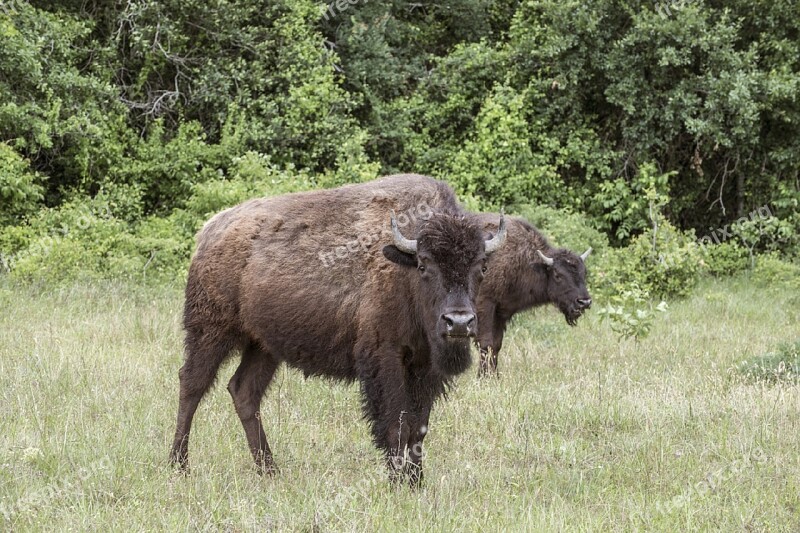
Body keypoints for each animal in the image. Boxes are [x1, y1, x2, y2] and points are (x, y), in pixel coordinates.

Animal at [169, 174, 506, 482]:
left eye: (481, 266)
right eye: (424, 265)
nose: (458, 322)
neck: (403, 271)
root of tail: (210, 231)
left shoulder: (425, 368)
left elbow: (418, 428)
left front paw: (416, 482)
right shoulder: (386, 359)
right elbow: (397, 424)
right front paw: (399, 482)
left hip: (262, 345)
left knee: (244, 392)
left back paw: (269, 471)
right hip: (211, 331)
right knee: (192, 384)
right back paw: (179, 465)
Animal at [468, 212, 592, 374]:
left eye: (584, 273)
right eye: (558, 275)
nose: (584, 302)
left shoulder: (501, 312)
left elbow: (496, 344)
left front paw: (494, 376)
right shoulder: (485, 304)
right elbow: (486, 343)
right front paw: (484, 376)